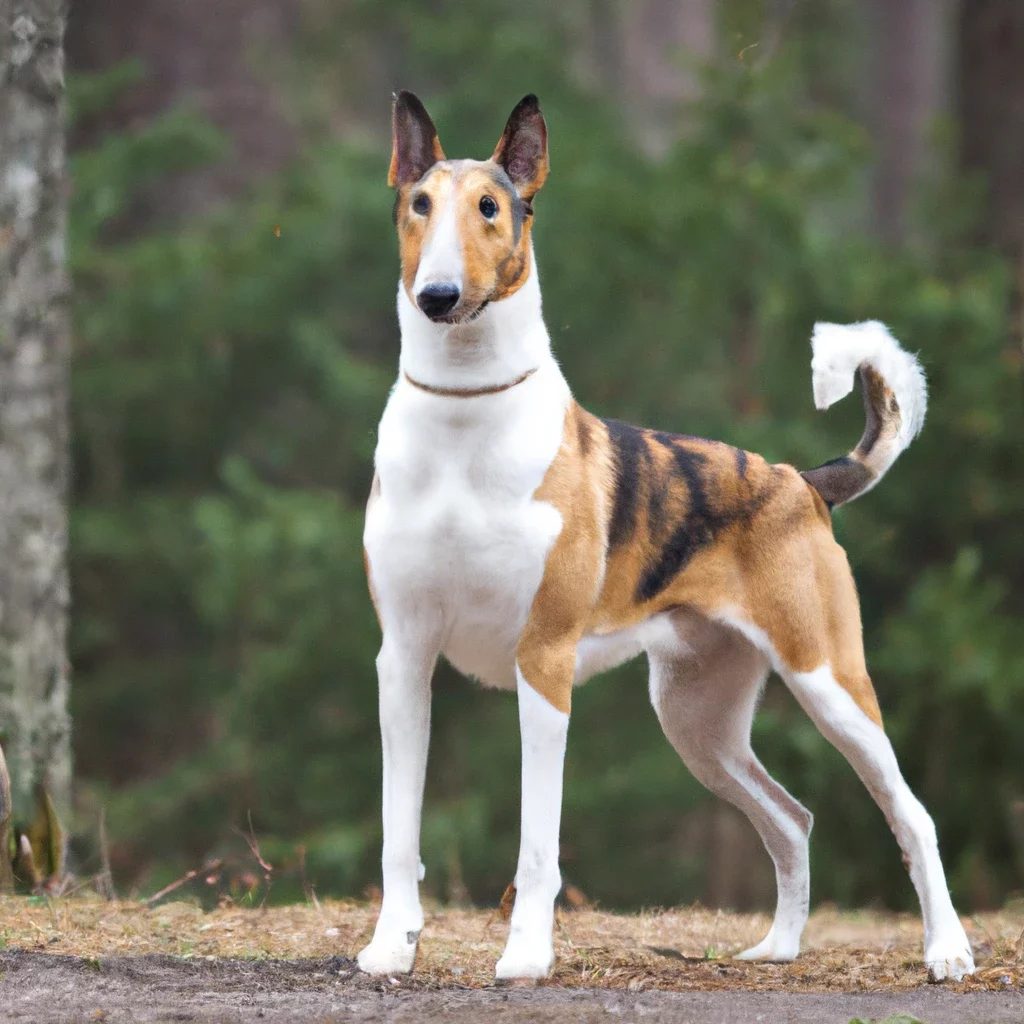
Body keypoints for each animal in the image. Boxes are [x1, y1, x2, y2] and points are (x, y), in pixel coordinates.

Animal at [360, 94, 974, 983]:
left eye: (490, 208)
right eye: (418, 205)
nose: (438, 295)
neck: (464, 419)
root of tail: (803, 480)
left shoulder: (543, 662)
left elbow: (538, 844)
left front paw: (527, 957)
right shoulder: (404, 660)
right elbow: (397, 831)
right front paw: (388, 948)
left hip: (829, 682)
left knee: (913, 815)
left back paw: (949, 952)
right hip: (698, 721)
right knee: (790, 818)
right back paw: (779, 948)